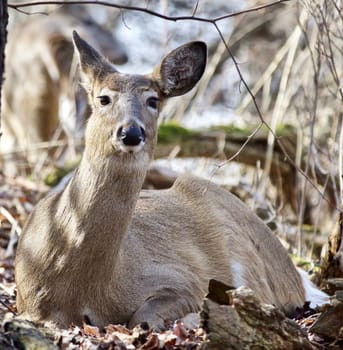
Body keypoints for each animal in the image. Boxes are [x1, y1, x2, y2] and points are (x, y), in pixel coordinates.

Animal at [14, 30, 330, 330]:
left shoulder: (184, 279)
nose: (131, 133)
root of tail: (292, 270)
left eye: (153, 100)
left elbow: (143, 317)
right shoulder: (28, 303)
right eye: (103, 98)